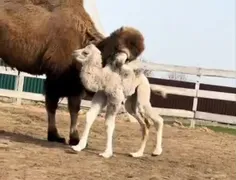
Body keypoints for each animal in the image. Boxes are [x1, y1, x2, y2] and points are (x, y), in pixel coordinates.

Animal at [0, 0, 145, 145]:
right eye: (120, 60)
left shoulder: (74, 82)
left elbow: (74, 107)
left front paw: (75, 138)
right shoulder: (56, 76)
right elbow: (52, 105)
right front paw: (54, 136)